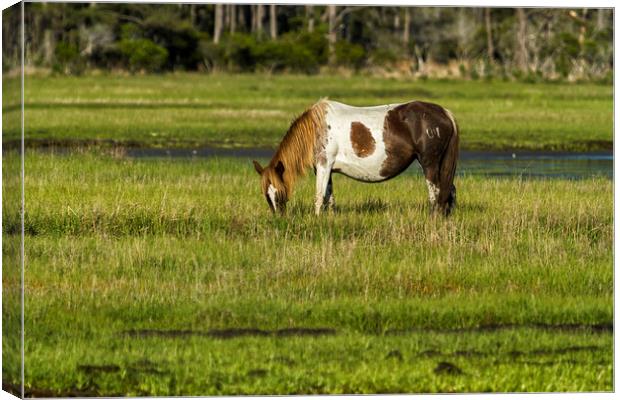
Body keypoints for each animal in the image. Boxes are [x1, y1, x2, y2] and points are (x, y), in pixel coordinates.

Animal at [252, 99, 460, 217]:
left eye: (279, 193)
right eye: (267, 196)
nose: (279, 220)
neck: (316, 128)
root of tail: (445, 113)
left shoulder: (323, 166)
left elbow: (319, 197)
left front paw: (316, 221)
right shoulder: (328, 169)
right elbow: (329, 197)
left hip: (430, 164)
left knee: (435, 194)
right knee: (449, 191)